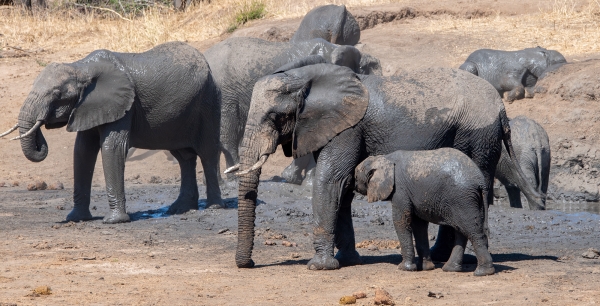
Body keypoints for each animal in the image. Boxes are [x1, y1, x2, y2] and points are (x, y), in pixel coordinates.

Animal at [2, 41, 223, 222]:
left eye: (57, 93)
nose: (42, 123)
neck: (81, 67)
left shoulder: (124, 104)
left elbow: (112, 147)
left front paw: (114, 221)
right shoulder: (88, 106)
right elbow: (82, 151)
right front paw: (76, 219)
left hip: (209, 100)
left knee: (207, 154)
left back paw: (213, 207)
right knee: (184, 158)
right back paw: (180, 209)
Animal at [202, 36, 380, 180]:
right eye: (365, 69)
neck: (335, 48)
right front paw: (297, 179)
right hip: (226, 95)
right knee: (227, 137)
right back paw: (231, 180)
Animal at [354, 148, 494, 278]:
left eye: (355, 177)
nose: (354, 185)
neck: (383, 158)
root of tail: (481, 181)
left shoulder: (400, 189)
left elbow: (401, 220)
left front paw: (405, 268)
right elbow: (419, 225)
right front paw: (426, 268)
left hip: (463, 198)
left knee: (473, 231)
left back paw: (483, 272)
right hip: (470, 200)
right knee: (462, 231)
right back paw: (450, 269)